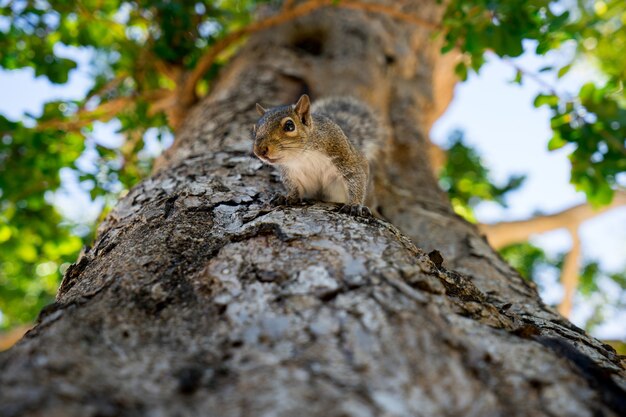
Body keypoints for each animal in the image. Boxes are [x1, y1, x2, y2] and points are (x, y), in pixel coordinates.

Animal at [250, 94, 378, 216]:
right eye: (255, 129)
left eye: (289, 126)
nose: (259, 151)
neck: (303, 156)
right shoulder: (290, 173)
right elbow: (293, 187)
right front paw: (288, 196)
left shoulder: (342, 154)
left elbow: (355, 178)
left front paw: (354, 205)